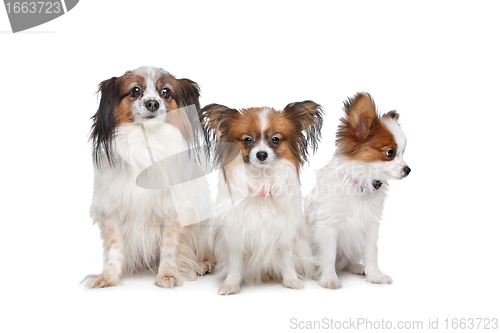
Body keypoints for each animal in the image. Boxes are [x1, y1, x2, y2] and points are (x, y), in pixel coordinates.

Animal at [84, 66, 213, 286]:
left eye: (166, 92)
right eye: (135, 90)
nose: (152, 103)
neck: (146, 140)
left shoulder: (173, 211)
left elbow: (169, 247)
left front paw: (168, 274)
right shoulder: (111, 210)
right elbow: (114, 248)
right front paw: (108, 276)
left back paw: (204, 265)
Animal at [200, 99, 322, 294]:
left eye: (275, 139)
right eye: (247, 140)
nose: (262, 154)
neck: (261, 180)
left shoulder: (283, 231)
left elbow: (287, 258)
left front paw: (291, 280)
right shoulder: (236, 234)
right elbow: (235, 263)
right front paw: (231, 285)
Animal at [304, 92, 410, 286]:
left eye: (403, 152)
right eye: (390, 153)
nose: (408, 169)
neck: (361, 183)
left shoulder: (370, 226)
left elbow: (371, 254)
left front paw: (375, 276)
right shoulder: (327, 226)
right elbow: (328, 255)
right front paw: (329, 279)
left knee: (345, 262)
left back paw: (357, 268)